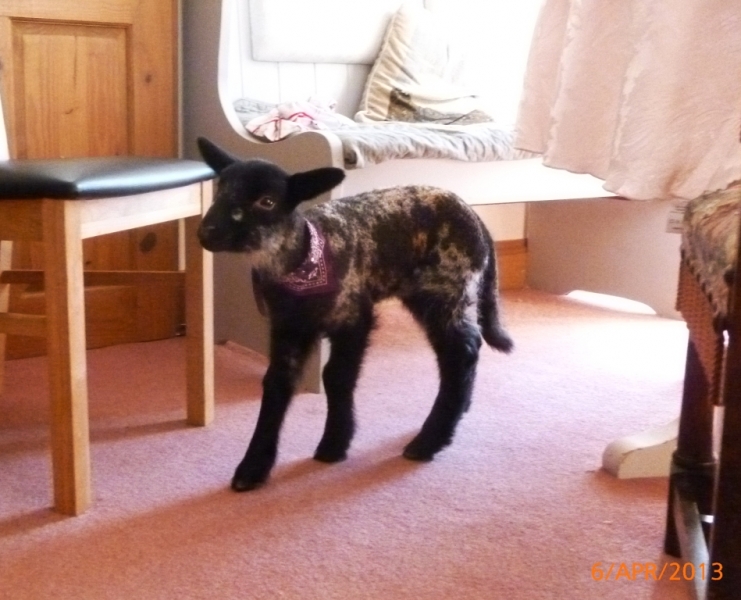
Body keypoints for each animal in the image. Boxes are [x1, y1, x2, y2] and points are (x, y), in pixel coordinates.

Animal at [196, 137, 513, 491]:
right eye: (220, 190)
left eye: (267, 202)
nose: (207, 232)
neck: (303, 260)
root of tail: (476, 217)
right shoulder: (287, 327)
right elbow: (276, 383)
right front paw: (253, 467)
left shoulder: (353, 317)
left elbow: (335, 376)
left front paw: (334, 444)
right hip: (428, 293)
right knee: (459, 350)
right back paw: (457, 412)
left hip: (446, 286)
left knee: (462, 352)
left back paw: (429, 440)